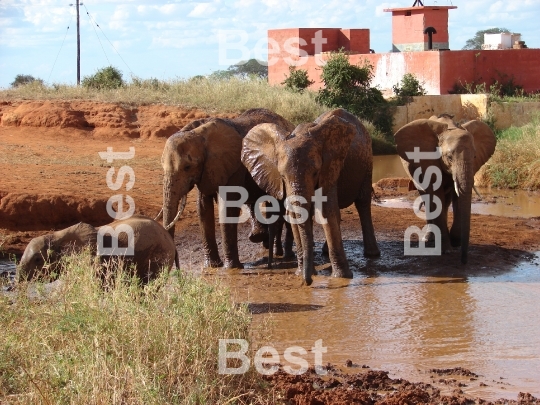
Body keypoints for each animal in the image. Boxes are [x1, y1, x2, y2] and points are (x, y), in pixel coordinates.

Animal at [159, 109, 294, 270]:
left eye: (187, 167)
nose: (176, 270)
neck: (199, 134)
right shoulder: (207, 169)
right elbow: (203, 207)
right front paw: (212, 266)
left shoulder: (234, 165)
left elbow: (227, 206)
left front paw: (232, 268)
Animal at [242, 107, 380, 284]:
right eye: (282, 176)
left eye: (315, 173)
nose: (308, 281)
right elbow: (294, 215)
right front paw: (300, 272)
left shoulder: (330, 168)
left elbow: (327, 212)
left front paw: (342, 277)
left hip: (368, 161)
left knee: (363, 203)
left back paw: (372, 254)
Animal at [394, 113, 496, 264]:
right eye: (449, 157)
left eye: (475, 156)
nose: (463, 262)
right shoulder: (428, 162)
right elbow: (436, 198)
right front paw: (447, 249)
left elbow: (458, 198)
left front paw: (455, 241)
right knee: (427, 199)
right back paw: (429, 239)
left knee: (445, 202)